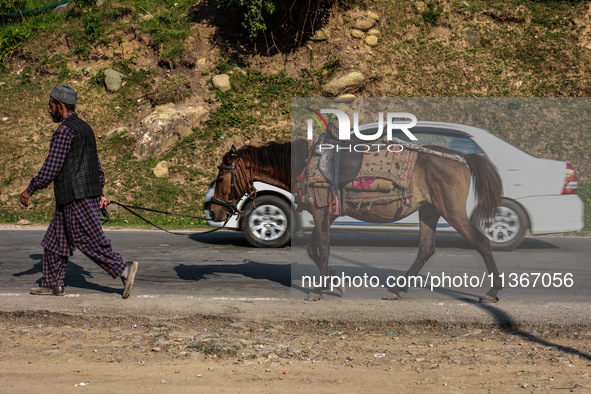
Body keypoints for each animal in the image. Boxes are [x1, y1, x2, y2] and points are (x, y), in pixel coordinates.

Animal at [209, 140, 504, 304]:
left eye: (221, 177)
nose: (214, 212)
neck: (304, 163)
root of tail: (462, 158)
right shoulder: (326, 215)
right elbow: (313, 249)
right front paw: (334, 281)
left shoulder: (320, 211)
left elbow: (323, 250)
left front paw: (319, 289)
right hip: (429, 210)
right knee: (426, 249)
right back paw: (396, 289)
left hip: (451, 210)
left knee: (482, 241)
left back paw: (492, 291)